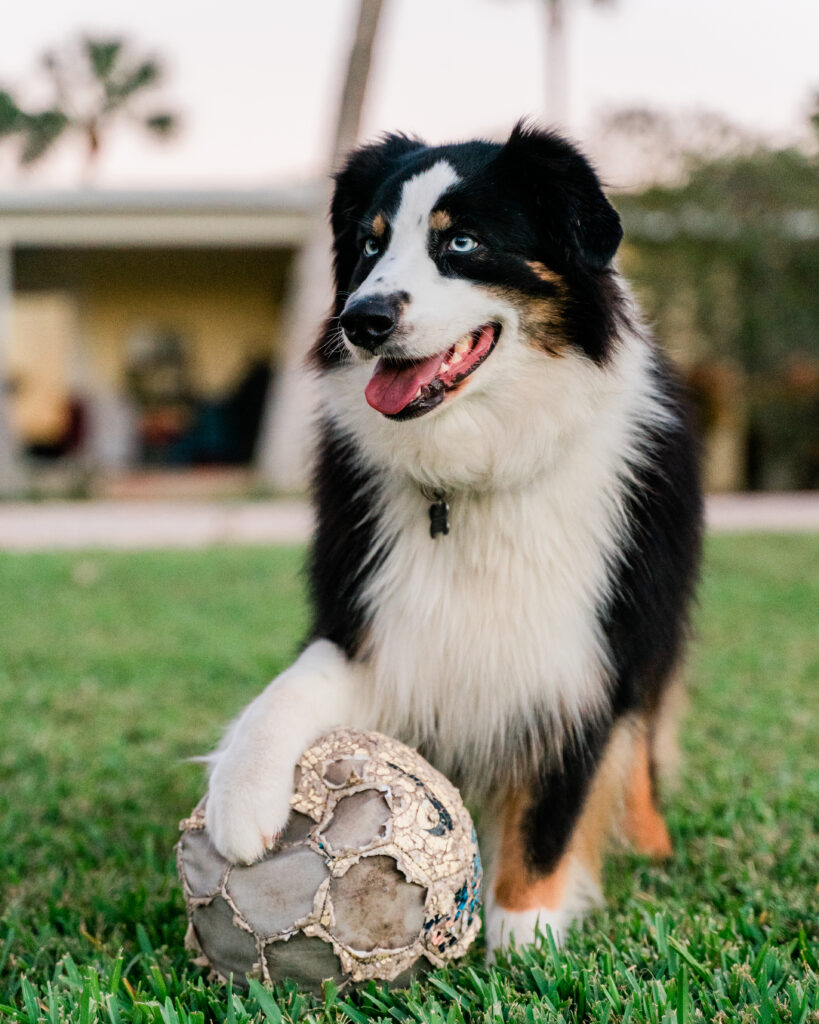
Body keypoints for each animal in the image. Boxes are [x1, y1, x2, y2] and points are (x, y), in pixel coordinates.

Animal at [206, 121, 704, 950]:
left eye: (462, 243)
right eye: (370, 244)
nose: (362, 319)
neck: (471, 474)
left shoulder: (587, 649)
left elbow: (555, 804)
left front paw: (525, 931)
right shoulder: (375, 616)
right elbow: (290, 688)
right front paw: (239, 799)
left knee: (642, 728)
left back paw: (651, 840)